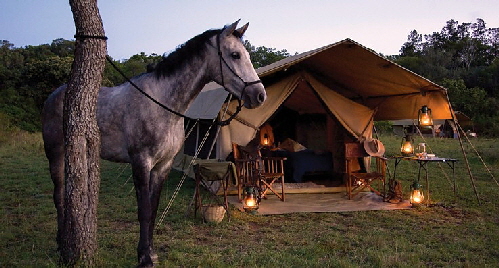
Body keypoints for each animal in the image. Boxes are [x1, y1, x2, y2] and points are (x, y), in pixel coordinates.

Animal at [43, 20, 268, 266]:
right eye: (235, 55)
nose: (259, 95)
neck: (163, 103)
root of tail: (54, 95)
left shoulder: (163, 166)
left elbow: (153, 210)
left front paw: (150, 253)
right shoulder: (141, 162)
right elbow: (144, 210)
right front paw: (144, 257)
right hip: (55, 154)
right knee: (58, 195)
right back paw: (60, 243)